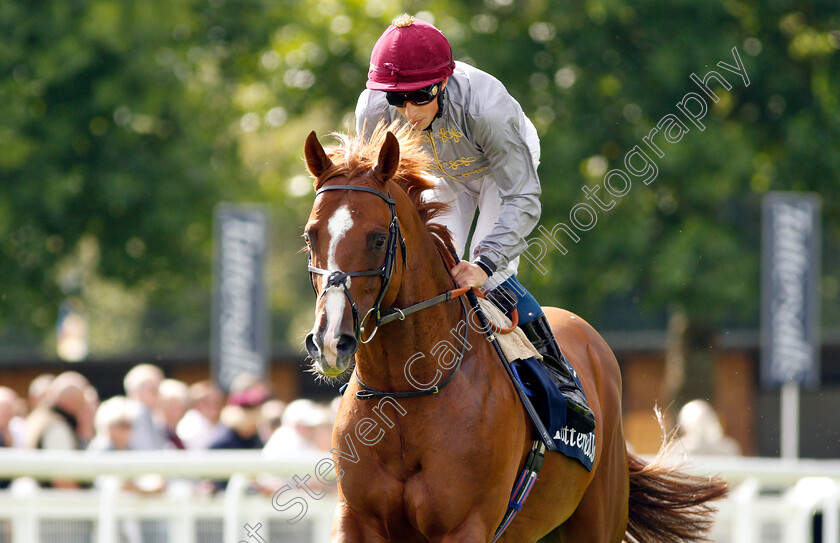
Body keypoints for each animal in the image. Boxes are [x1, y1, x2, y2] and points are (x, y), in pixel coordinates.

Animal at [304, 124, 728, 543]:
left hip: (597, 518)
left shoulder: (466, 526)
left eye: (378, 238)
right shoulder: (356, 519)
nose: (330, 341)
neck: (405, 394)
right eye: (311, 236)